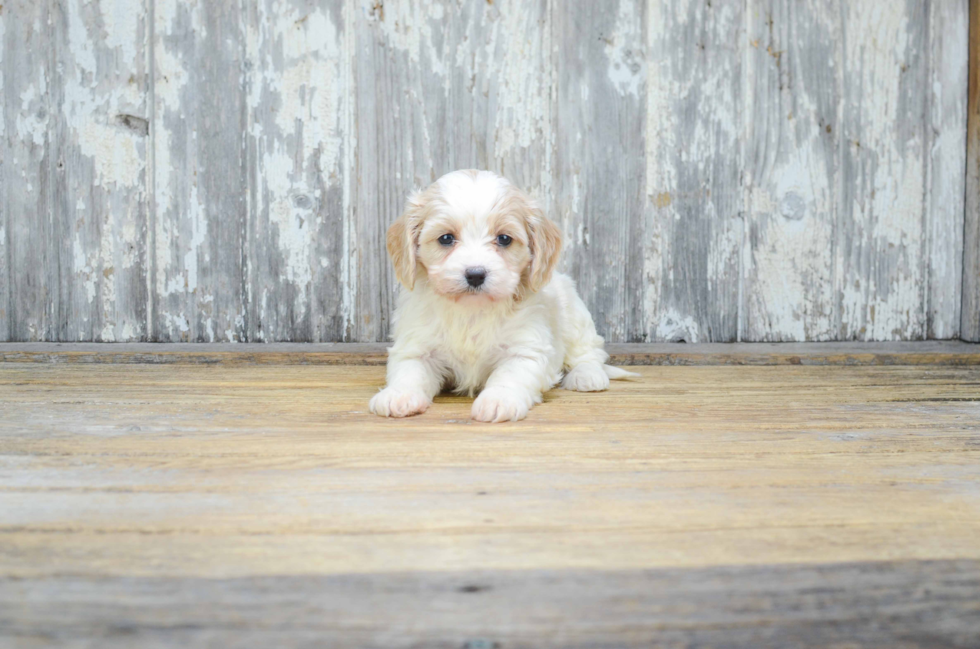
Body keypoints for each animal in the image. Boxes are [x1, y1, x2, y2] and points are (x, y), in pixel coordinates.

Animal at [368, 168, 636, 420]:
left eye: (504, 239)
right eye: (446, 238)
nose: (475, 274)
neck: (472, 311)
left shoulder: (525, 350)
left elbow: (509, 375)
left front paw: (497, 401)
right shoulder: (416, 347)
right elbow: (409, 372)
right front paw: (397, 395)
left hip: (576, 317)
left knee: (588, 352)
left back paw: (587, 376)